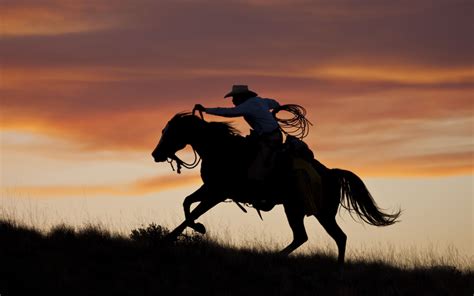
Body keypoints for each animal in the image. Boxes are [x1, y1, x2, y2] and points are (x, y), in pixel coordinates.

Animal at [152, 112, 400, 270]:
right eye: (163, 130)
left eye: (170, 132)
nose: (156, 154)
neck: (223, 150)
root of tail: (332, 173)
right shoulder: (210, 189)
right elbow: (187, 203)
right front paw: (175, 235)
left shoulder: (218, 192)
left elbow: (193, 211)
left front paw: (190, 230)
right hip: (312, 212)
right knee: (330, 237)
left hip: (302, 210)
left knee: (316, 236)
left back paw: (279, 258)